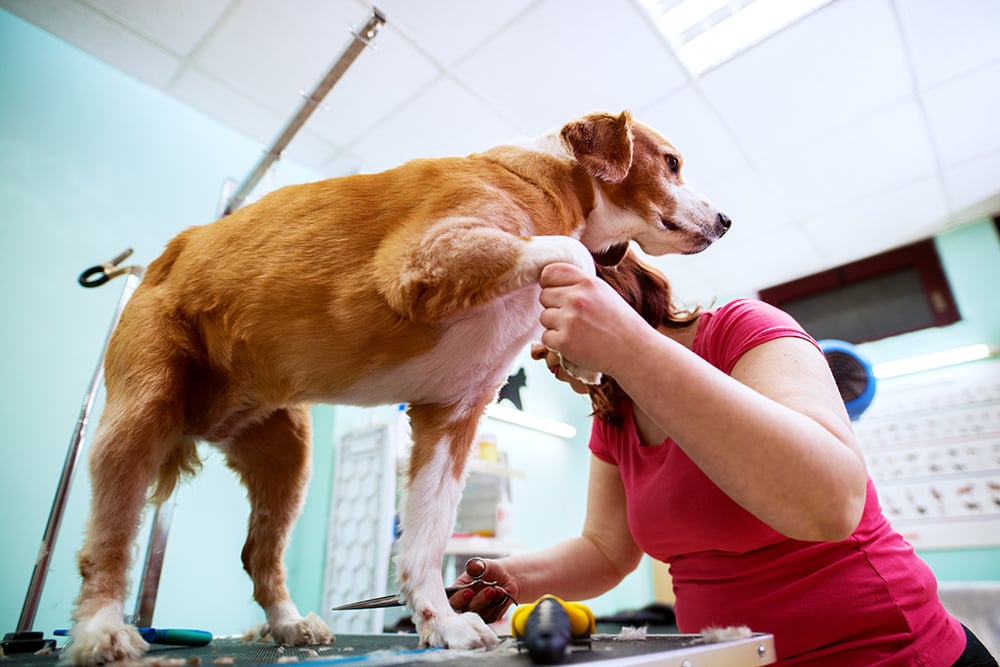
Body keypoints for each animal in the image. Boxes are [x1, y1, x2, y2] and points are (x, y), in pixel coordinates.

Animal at [68, 109, 728, 664]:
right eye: (672, 163)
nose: (726, 219)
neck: (552, 184)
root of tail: (165, 255)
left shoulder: (454, 414)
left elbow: (426, 538)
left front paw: (442, 622)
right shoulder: (424, 256)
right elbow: (573, 252)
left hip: (288, 455)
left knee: (258, 553)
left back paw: (288, 625)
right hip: (139, 412)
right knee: (107, 540)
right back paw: (102, 628)